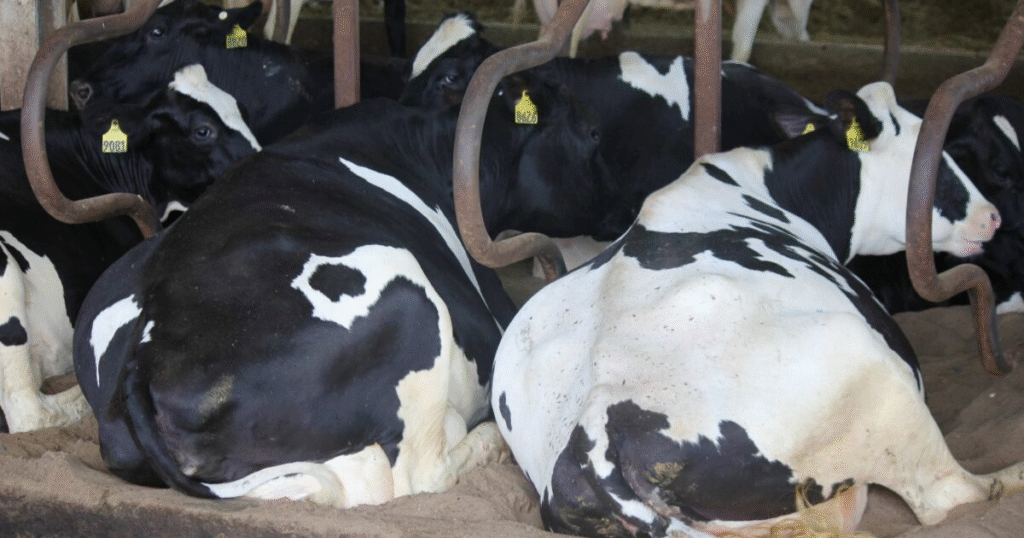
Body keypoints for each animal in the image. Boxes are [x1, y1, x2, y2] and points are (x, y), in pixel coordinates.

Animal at [70, 61, 617, 504]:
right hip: (407, 296)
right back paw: (489, 442)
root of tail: (146, 346)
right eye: (593, 132)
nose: (621, 212)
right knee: (417, 475)